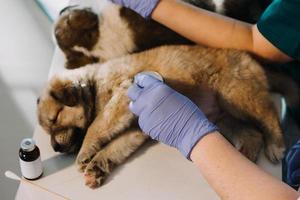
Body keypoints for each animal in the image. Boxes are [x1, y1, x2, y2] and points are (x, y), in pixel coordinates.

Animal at [37, 45, 284, 189]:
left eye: (55, 119)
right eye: (48, 129)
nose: (56, 148)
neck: (94, 85)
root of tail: (250, 59)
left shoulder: (122, 97)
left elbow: (96, 126)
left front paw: (85, 152)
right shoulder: (135, 128)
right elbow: (115, 147)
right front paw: (97, 167)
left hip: (237, 95)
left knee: (269, 115)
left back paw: (276, 145)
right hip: (222, 116)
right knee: (252, 134)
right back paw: (243, 158)